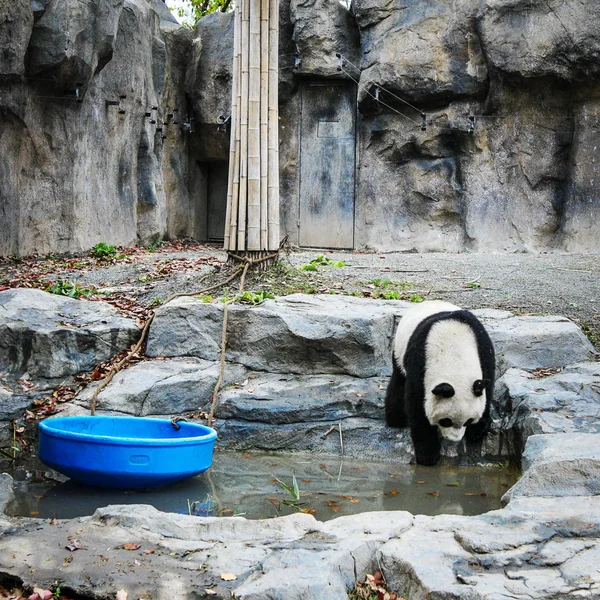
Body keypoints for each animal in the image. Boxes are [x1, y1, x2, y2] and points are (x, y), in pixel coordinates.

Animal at [386, 302, 494, 466]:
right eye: (446, 421)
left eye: (468, 421)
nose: (454, 439)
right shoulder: (419, 362)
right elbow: (416, 405)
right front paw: (427, 455)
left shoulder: (483, 350)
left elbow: (486, 389)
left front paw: (477, 430)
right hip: (399, 349)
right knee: (398, 385)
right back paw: (396, 418)